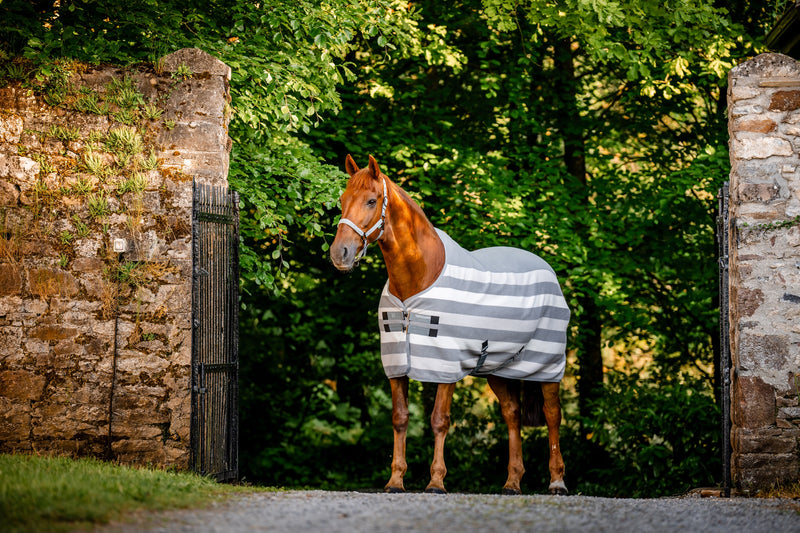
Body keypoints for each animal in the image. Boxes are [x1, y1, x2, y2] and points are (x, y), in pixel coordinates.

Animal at [330, 154, 569, 495]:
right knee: (512, 414)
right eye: (342, 200)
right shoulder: (396, 363)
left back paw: (557, 481)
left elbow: (439, 419)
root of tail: (547, 268)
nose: (340, 254)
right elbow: (400, 418)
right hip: (498, 368)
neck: (418, 278)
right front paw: (395, 481)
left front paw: (436, 481)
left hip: (548, 362)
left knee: (552, 415)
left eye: (371, 201)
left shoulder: (446, 364)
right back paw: (512, 482)